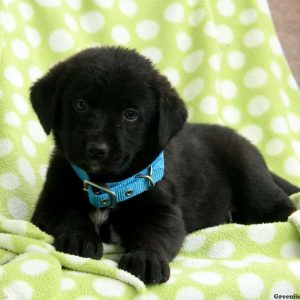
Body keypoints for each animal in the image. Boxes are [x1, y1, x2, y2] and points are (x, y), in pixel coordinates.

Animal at [30, 46, 298, 284]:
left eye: (130, 114)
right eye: (81, 104)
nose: (97, 149)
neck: (107, 185)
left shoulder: (164, 212)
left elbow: (154, 235)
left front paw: (146, 259)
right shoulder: (49, 204)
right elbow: (70, 215)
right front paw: (80, 238)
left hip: (250, 177)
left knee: (283, 207)